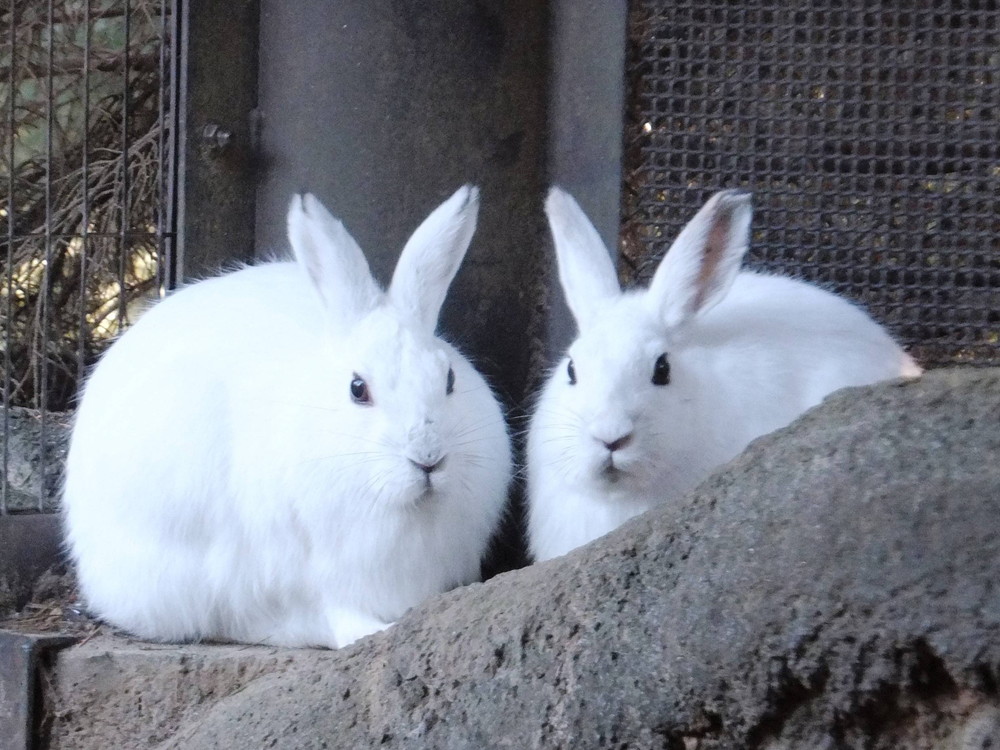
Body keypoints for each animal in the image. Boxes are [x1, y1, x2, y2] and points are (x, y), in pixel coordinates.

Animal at [64, 185, 508, 648]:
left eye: (449, 379)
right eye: (357, 389)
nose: (428, 458)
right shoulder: (305, 573)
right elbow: (334, 611)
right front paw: (376, 630)